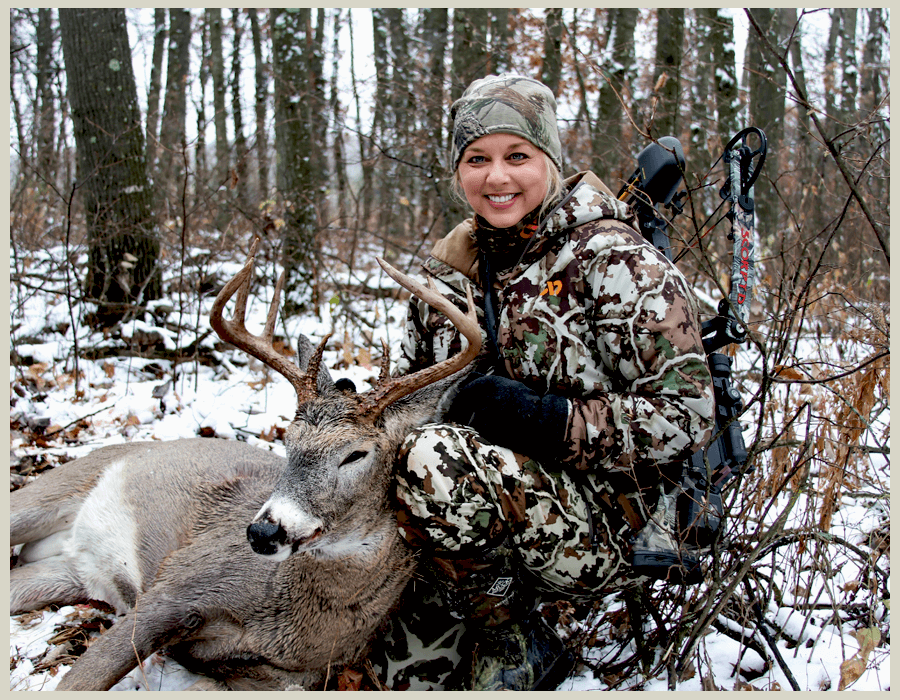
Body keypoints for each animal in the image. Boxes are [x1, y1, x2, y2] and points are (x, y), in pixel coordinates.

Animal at [8, 243, 486, 692]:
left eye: (355, 454)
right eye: (288, 440)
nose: (263, 531)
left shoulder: (286, 673)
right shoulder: (176, 585)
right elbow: (81, 680)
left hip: (67, 572)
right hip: (54, 490)